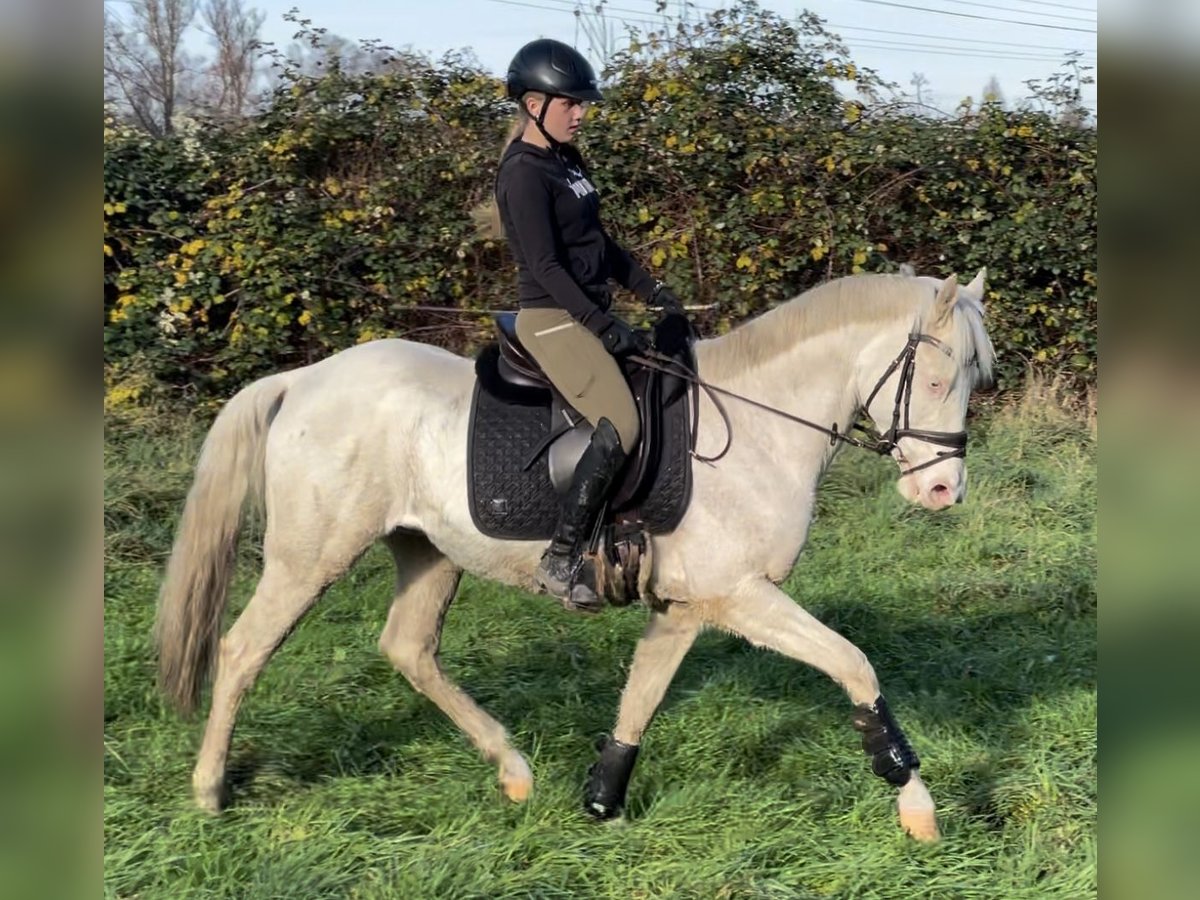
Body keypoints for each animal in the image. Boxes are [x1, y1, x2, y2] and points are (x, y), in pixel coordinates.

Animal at [152, 270, 993, 844]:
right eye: (938, 378)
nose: (943, 490)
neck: (757, 425)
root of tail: (304, 380)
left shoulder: (687, 606)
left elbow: (639, 699)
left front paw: (602, 799)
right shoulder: (740, 596)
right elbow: (854, 664)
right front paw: (914, 801)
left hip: (429, 552)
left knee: (408, 648)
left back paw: (513, 770)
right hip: (311, 557)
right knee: (243, 649)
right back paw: (208, 791)